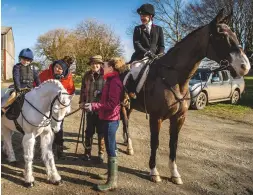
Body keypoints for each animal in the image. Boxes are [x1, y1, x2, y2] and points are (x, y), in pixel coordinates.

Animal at [122, 8, 249, 184]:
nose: (245, 66)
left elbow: (173, 144)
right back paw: (128, 146)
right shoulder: (156, 118)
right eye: (221, 36)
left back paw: (127, 144)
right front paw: (154, 171)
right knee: (125, 123)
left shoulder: (179, 118)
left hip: (130, 106)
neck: (175, 78)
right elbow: (155, 142)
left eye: (235, 35)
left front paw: (175, 174)